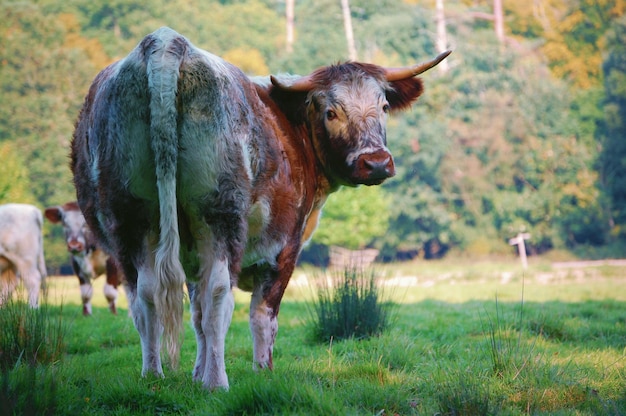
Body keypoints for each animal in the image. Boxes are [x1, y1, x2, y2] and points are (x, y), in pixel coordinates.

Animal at [69, 27, 448, 392]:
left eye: (383, 106)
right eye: (331, 112)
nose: (376, 162)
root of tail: (166, 41)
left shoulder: (187, 252)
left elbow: (195, 316)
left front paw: (196, 374)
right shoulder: (284, 248)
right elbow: (261, 316)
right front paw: (260, 371)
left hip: (132, 223)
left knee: (146, 298)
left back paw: (153, 376)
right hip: (218, 216)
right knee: (219, 298)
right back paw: (217, 383)